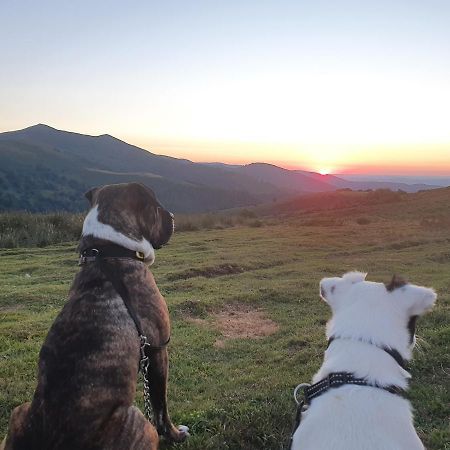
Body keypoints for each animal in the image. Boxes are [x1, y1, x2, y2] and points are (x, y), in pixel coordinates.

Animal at [2, 184, 188, 450]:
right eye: (156, 207)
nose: (172, 217)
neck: (109, 249)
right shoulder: (157, 350)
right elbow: (161, 407)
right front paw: (176, 434)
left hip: (20, 411)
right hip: (140, 422)